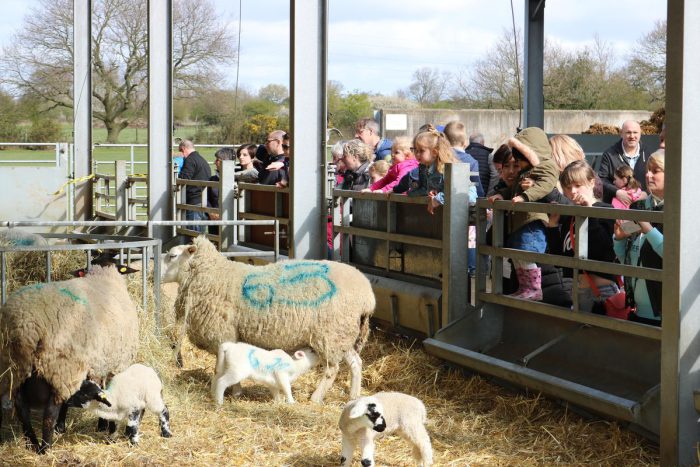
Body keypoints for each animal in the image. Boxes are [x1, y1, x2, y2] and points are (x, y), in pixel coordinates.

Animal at [0, 266, 139, 454]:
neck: (104, 277)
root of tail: (25, 326)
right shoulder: (111, 366)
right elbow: (105, 394)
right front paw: (104, 426)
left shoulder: (96, 366)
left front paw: (65, 426)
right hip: (61, 366)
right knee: (49, 415)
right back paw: (45, 448)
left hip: (14, 369)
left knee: (22, 410)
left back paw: (32, 444)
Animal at [162, 236, 378, 404]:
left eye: (172, 256)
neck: (211, 276)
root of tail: (367, 296)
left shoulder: (223, 332)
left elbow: (221, 366)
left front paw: (236, 390)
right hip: (343, 335)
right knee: (356, 363)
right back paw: (353, 395)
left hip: (330, 335)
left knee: (332, 369)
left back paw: (316, 398)